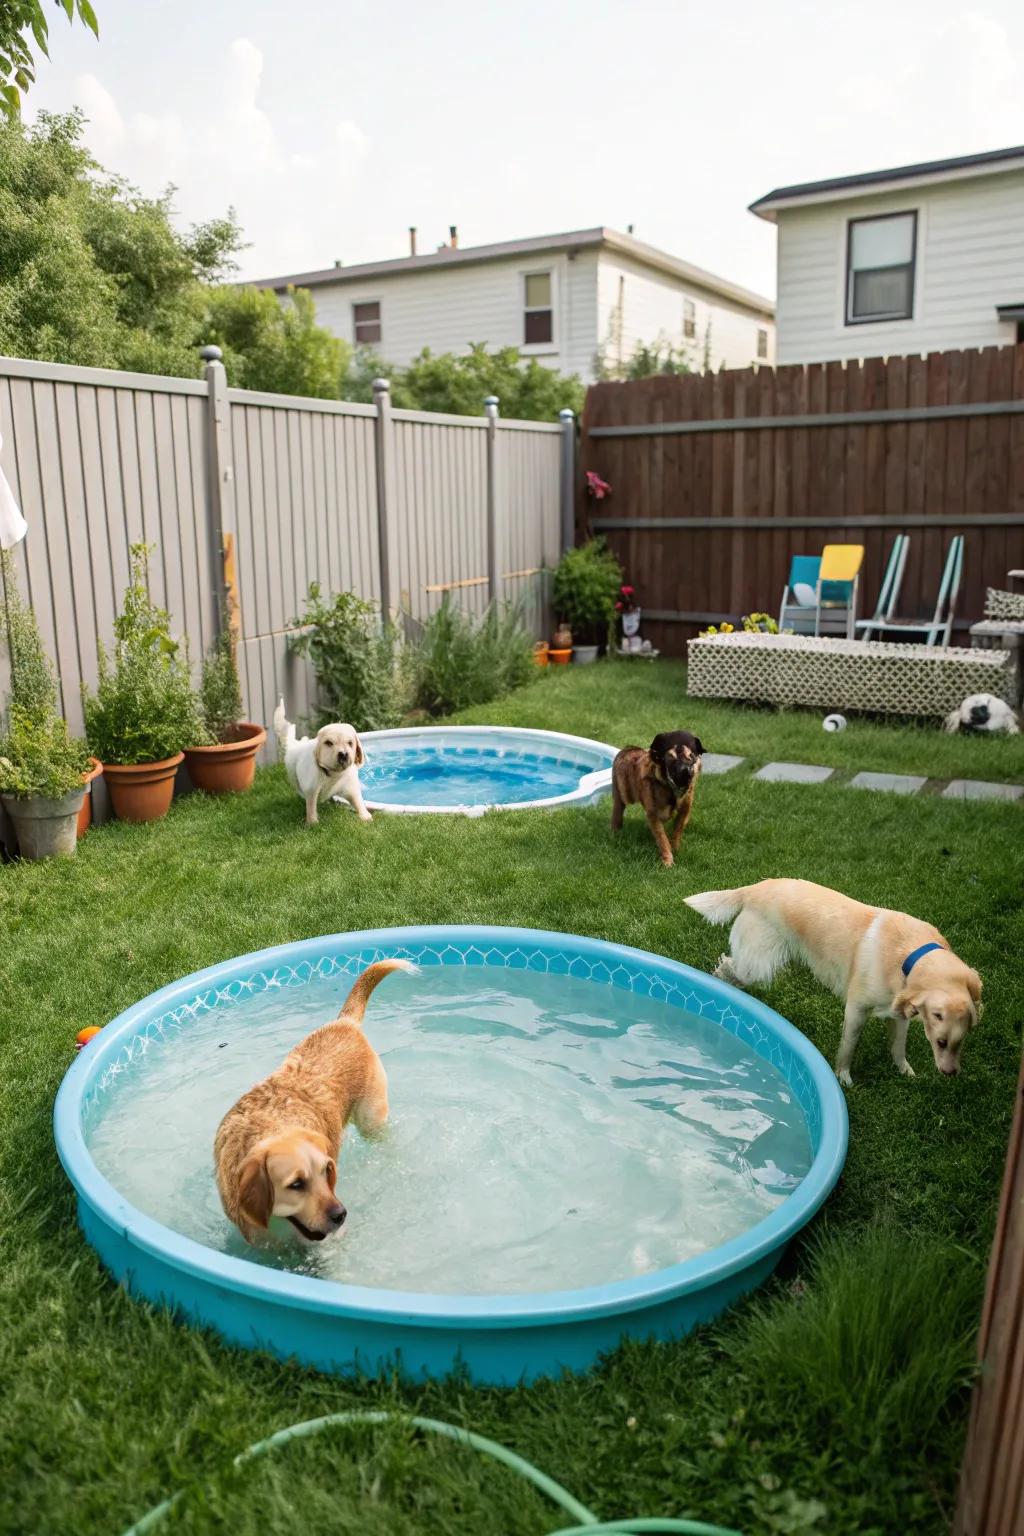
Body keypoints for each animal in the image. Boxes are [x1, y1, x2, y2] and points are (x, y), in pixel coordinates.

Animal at [607, 728, 706, 866]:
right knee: (618, 811)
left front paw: (675, 848)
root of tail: (628, 748)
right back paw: (615, 833)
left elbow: (678, 829)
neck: (671, 788)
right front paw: (667, 860)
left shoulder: (685, 808)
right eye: (670, 758)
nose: (686, 771)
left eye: (692, 756)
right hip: (622, 793)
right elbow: (662, 838)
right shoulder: (653, 812)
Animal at [684, 884, 982, 1087]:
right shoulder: (856, 1010)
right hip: (757, 963)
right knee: (728, 966)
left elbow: (898, 1047)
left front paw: (905, 1072)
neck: (910, 955)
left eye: (960, 1042)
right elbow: (848, 1048)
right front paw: (844, 1079)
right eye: (941, 1042)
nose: (950, 1073)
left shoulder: (900, 1015)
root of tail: (755, 887)